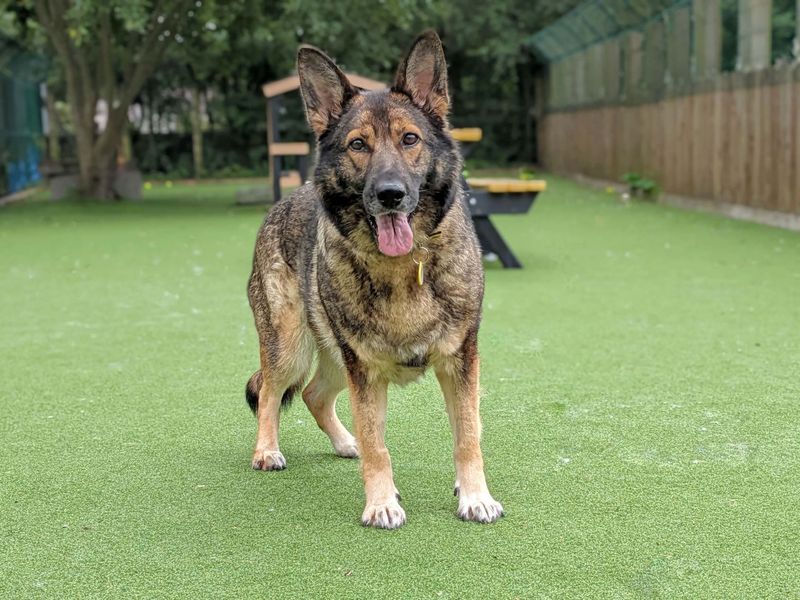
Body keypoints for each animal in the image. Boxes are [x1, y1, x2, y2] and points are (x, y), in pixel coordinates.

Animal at [247, 31, 504, 528]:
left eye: (409, 139)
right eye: (358, 145)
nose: (390, 195)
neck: (404, 268)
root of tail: (281, 203)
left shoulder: (460, 362)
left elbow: (468, 435)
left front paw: (474, 496)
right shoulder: (364, 372)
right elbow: (378, 445)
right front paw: (382, 503)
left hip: (331, 354)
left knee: (313, 395)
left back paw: (344, 442)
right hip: (292, 346)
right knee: (270, 391)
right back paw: (267, 450)